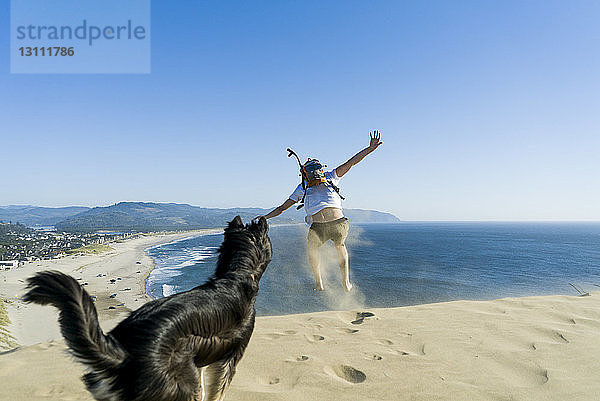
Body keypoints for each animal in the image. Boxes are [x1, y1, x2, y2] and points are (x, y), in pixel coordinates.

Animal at [23, 216, 272, 400]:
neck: (236, 274)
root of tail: (123, 355)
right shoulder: (229, 358)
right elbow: (216, 391)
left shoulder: (201, 359)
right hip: (179, 385)